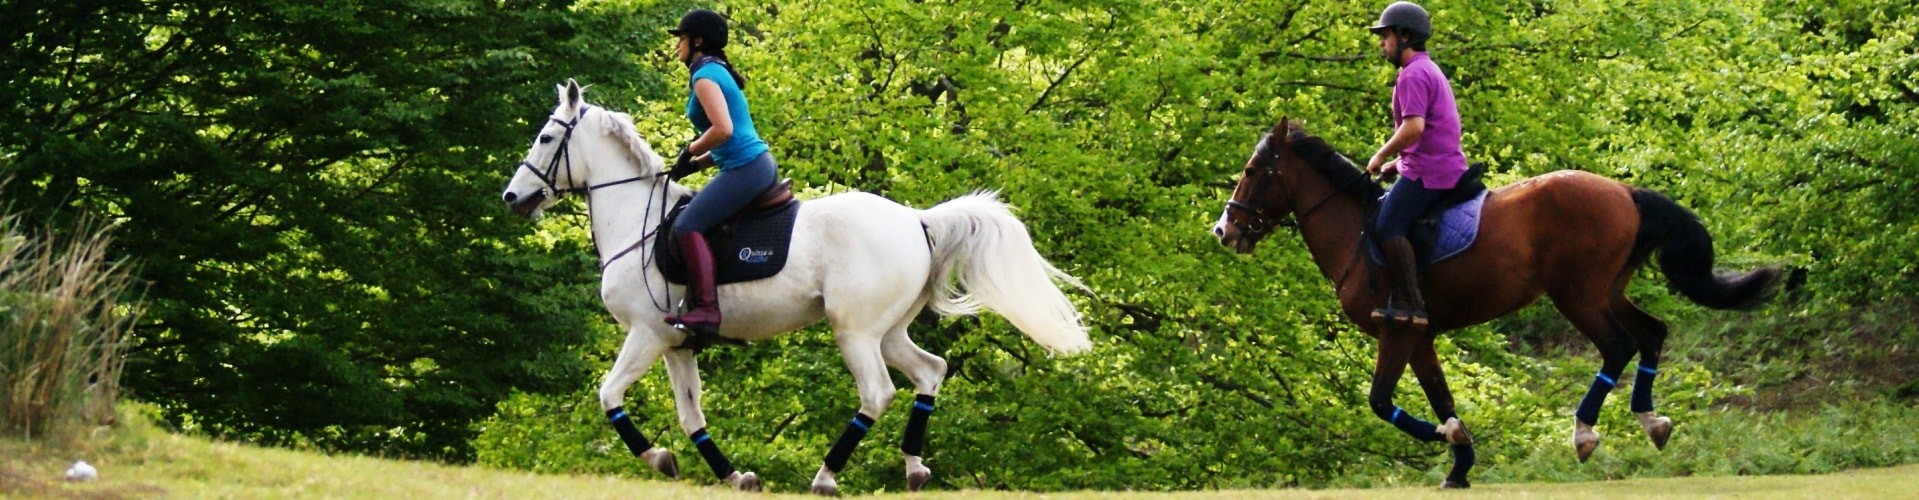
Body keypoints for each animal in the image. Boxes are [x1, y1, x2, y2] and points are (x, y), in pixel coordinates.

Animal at [498, 79, 1097, 490]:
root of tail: (916, 219)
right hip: (888, 331)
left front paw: (657, 457)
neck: (638, 222)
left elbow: (610, 395)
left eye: (546, 136)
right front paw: (735, 476)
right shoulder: (677, 344)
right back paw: (914, 467)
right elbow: (692, 415)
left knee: (877, 392)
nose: (512, 198)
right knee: (930, 371)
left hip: (854, 330)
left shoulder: (647, 333)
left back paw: (826, 476)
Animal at [1212, 117, 1780, 486]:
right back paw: (1651, 420)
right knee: (1651, 332)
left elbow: (1380, 401)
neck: (1354, 229)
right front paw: (1460, 461)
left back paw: (1584, 432)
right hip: (1607, 290)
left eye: (1252, 171)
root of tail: (1624, 192)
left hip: (1578, 294)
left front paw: (1446, 440)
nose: (1224, 230)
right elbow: (1439, 394)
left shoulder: (1397, 330)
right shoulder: (1419, 337)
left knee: (1618, 345)